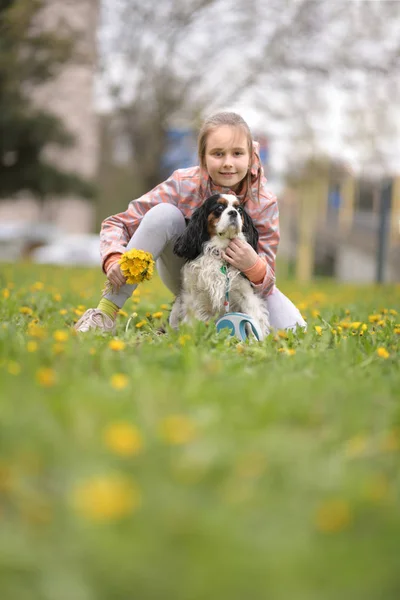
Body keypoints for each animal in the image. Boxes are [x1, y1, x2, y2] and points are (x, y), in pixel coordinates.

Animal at [170, 192, 270, 338]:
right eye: (219, 207)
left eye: (239, 209)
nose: (233, 212)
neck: (221, 252)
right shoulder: (194, 299)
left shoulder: (247, 296)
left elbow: (254, 324)